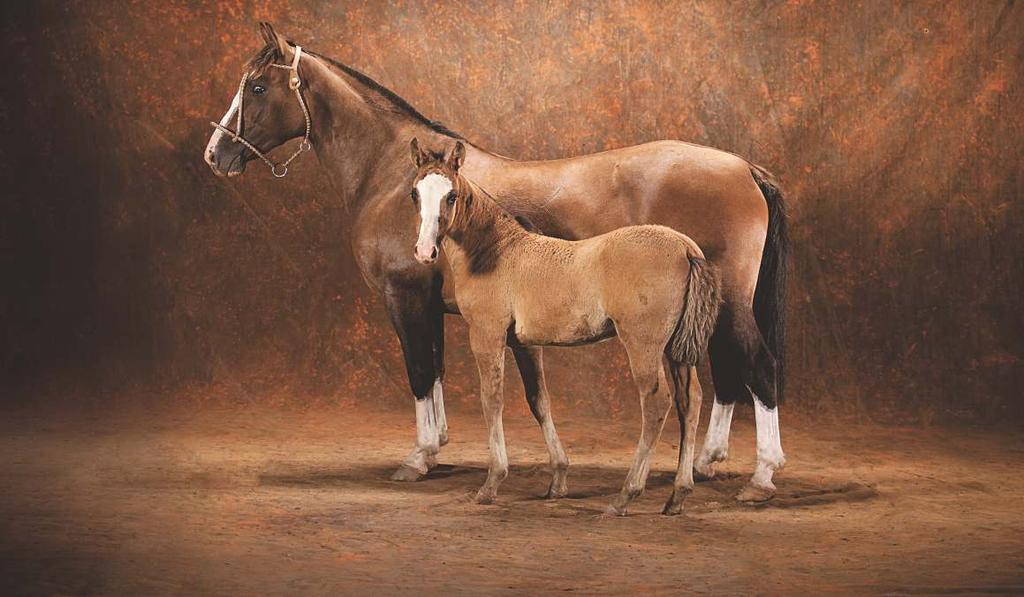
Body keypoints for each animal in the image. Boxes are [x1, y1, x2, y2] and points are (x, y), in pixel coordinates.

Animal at [203, 23, 786, 501]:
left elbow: (419, 372)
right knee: (727, 375)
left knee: (758, 367)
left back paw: (761, 476)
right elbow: (436, 370)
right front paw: (437, 446)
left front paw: (419, 458)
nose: (216, 154)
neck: (391, 174)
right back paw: (705, 465)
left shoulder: (406, 298)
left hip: (727, 305)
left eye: (258, 87)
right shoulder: (435, 308)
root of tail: (743, 167)